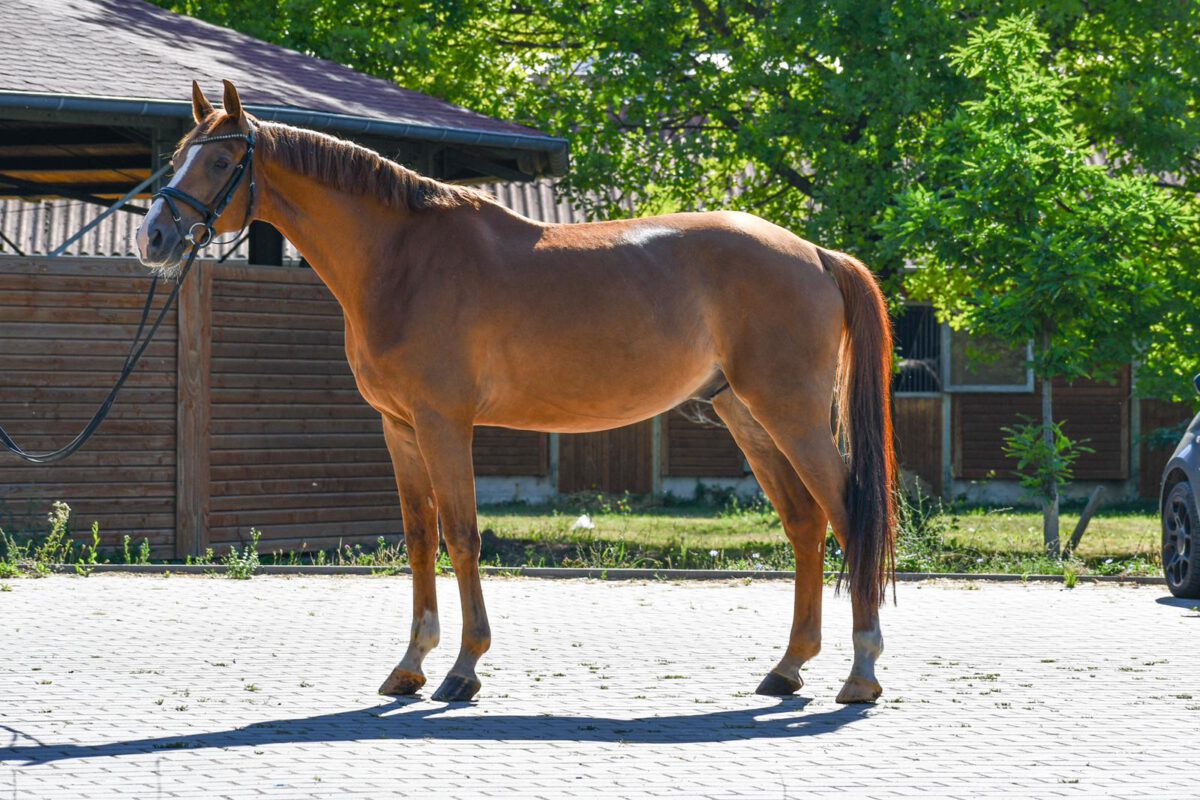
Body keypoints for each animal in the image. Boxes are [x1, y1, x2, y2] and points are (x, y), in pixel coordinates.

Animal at [136, 80, 897, 704]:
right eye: (177, 155)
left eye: (217, 162)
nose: (153, 236)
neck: (402, 260)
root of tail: (814, 254)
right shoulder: (399, 427)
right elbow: (419, 537)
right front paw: (410, 666)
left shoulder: (444, 424)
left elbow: (463, 534)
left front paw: (462, 669)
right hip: (746, 415)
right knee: (805, 523)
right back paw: (788, 667)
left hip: (791, 415)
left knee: (848, 513)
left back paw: (861, 673)